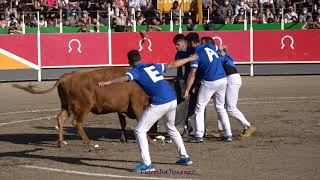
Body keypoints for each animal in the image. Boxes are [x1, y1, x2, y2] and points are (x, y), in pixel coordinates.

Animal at [11, 67, 149, 147]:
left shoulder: (121, 108)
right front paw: (148, 139)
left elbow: (123, 123)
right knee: (76, 122)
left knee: (61, 118)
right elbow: (140, 122)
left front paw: (123, 139)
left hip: (66, 105)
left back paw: (61, 142)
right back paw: (88, 142)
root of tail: (67, 76)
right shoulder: (137, 105)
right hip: (84, 106)